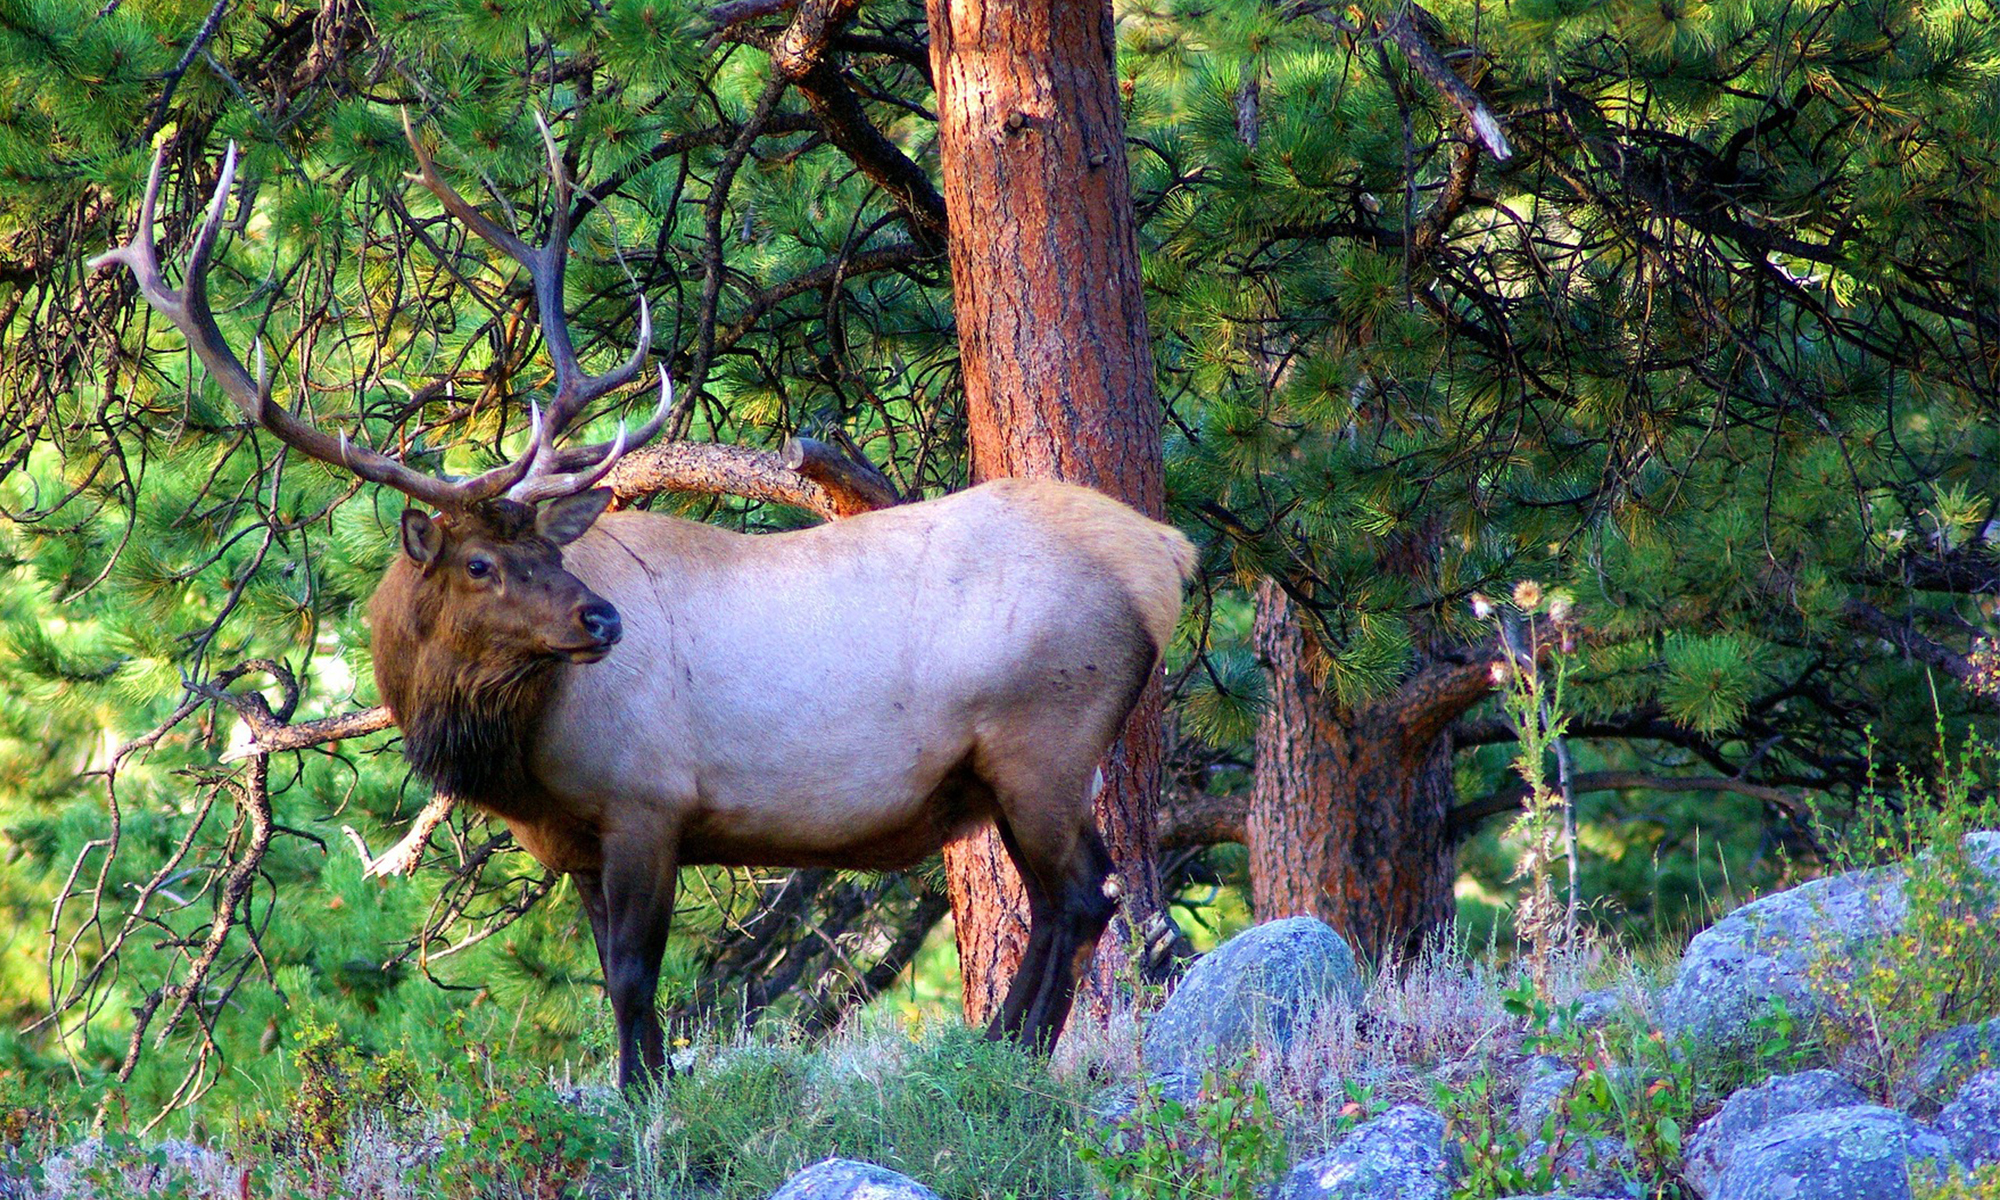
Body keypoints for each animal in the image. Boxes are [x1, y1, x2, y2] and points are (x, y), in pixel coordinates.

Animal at [92, 125, 1197, 1090]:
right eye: (483, 563)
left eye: (546, 547)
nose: (603, 622)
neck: (520, 754)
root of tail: (1164, 556)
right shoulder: (577, 839)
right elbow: (608, 976)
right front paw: (647, 1085)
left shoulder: (647, 800)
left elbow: (632, 974)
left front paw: (642, 1100)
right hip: (1018, 763)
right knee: (1072, 901)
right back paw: (999, 1046)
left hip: (1040, 735)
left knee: (1077, 898)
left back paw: (1015, 1053)